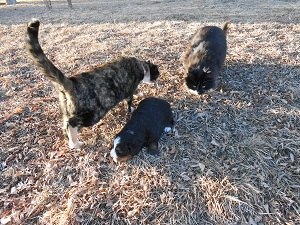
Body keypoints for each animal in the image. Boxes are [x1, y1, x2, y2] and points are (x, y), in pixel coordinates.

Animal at [25, 19, 161, 149]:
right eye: (157, 72)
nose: (159, 76)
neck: (140, 67)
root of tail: (70, 81)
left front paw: (140, 93)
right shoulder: (130, 89)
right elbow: (129, 102)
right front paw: (132, 108)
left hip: (68, 111)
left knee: (65, 123)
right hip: (93, 114)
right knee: (72, 123)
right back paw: (75, 143)